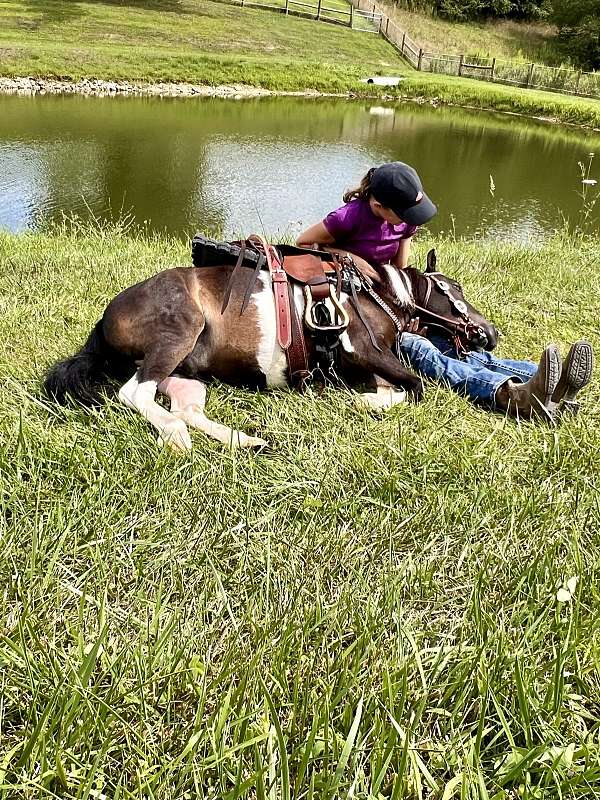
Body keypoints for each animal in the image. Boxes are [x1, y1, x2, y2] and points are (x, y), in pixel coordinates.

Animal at [44, 238, 496, 450]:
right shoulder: (364, 350)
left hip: (186, 376)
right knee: (135, 394)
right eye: (453, 289)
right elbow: (416, 387)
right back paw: (178, 436)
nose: (490, 334)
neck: (376, 293)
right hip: (177, 335)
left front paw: (366, 399)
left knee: (183, 407)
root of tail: (106, 318)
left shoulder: (373, 364)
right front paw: (362, 402)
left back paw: (245, 441)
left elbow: (397, 388)